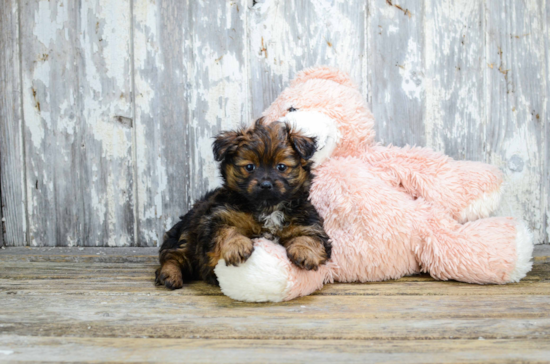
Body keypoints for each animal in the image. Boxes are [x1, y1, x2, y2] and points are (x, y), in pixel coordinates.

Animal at [157, 118, 334, 288]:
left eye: (281, 167)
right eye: (250, 167)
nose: (266, 184)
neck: (267, 208)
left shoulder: (308, 221)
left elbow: (310, 236)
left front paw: (305, 251)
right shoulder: (216, 218)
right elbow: (226, 230)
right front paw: (236, 245)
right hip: (185, 237)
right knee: (173, 256)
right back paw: (170, 275)